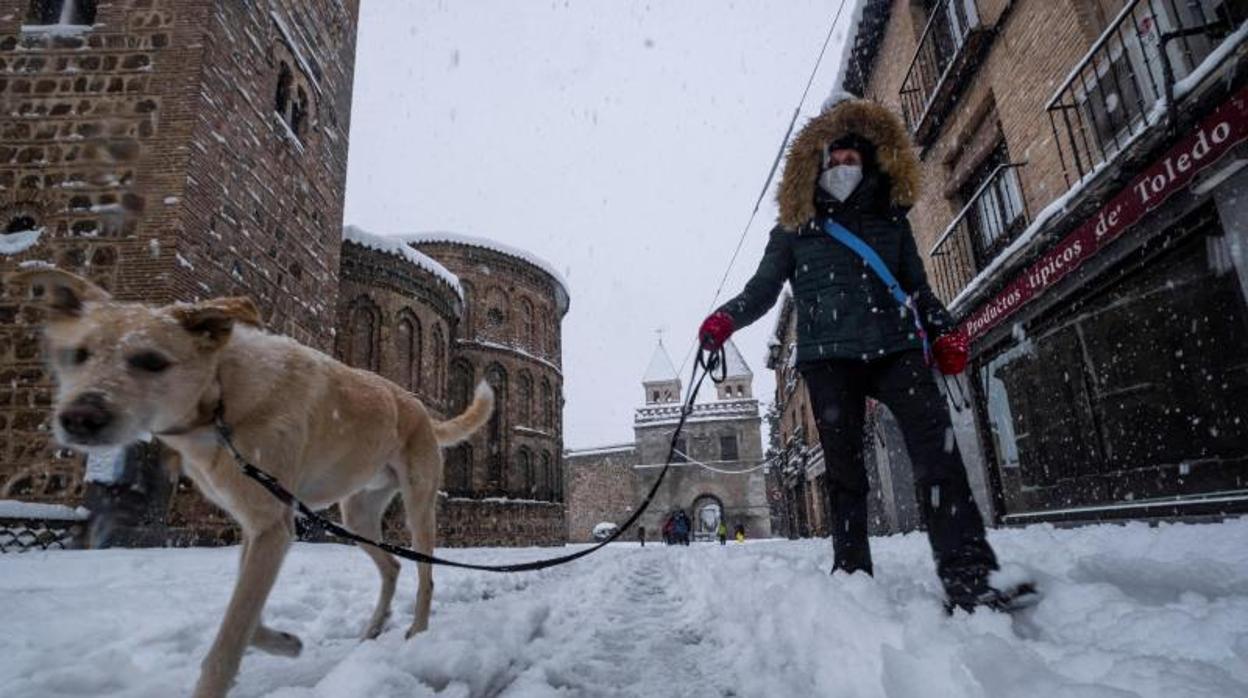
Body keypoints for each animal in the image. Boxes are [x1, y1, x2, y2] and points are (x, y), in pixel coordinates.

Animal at [8, 268, 491, 698]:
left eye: (151, 361)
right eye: (77, 355)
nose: (79, 419)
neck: (221, 399)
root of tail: (419, 408)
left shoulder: (273, 527)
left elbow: (230, 636)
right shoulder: (257, 525)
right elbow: (246, 615)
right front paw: (285, 643)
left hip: (417, 506)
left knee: (426, 574)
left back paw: (418, 630)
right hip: (357, 513)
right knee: (391, 565)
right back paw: (373, 628)